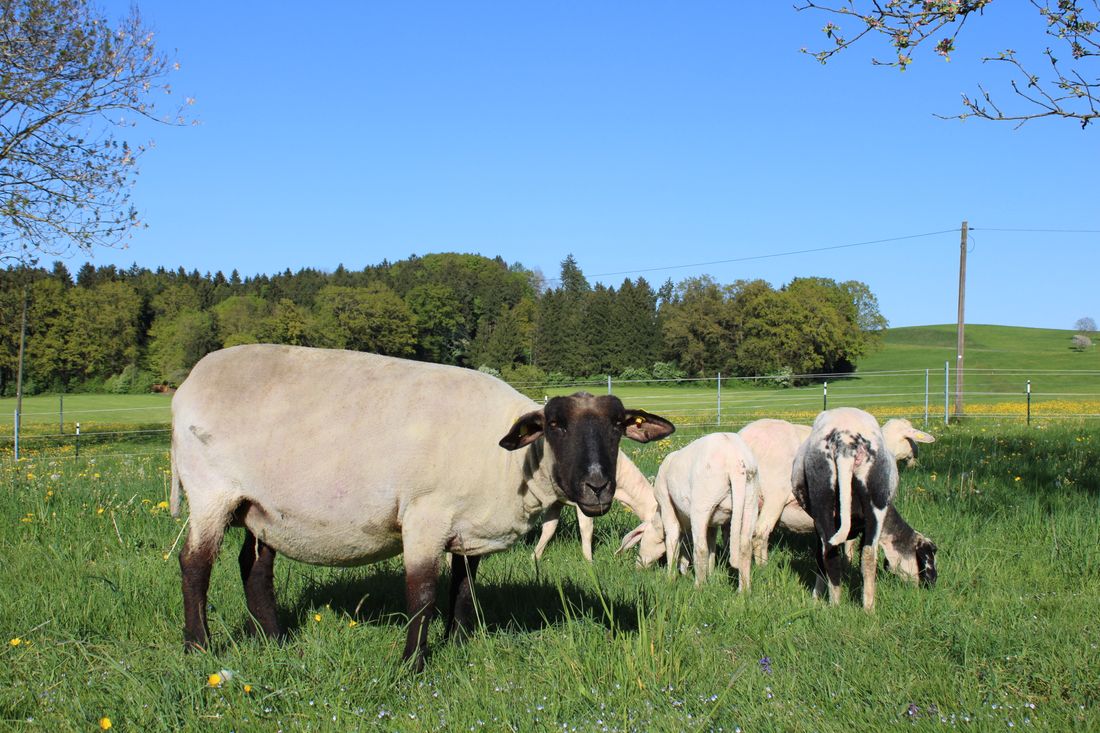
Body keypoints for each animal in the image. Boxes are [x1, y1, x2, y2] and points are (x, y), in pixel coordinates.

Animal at [649, 432, 760, 589]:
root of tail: (735, 462)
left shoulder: (665, 503)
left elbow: (673, 539)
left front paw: (670, 579)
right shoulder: (713, 524)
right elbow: (712, 548)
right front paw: (711, 576)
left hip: (702, 503)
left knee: (700, 548)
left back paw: (699, 587)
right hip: (751, 501)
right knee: (745, 547)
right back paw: (744, 590)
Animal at [791, 407, 897, 610]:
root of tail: (846, 444)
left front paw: (816, 596)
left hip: (826, 496)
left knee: (838, 553)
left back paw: (848, 606)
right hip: (874, 497)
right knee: (858, 553)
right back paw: (854, 607)